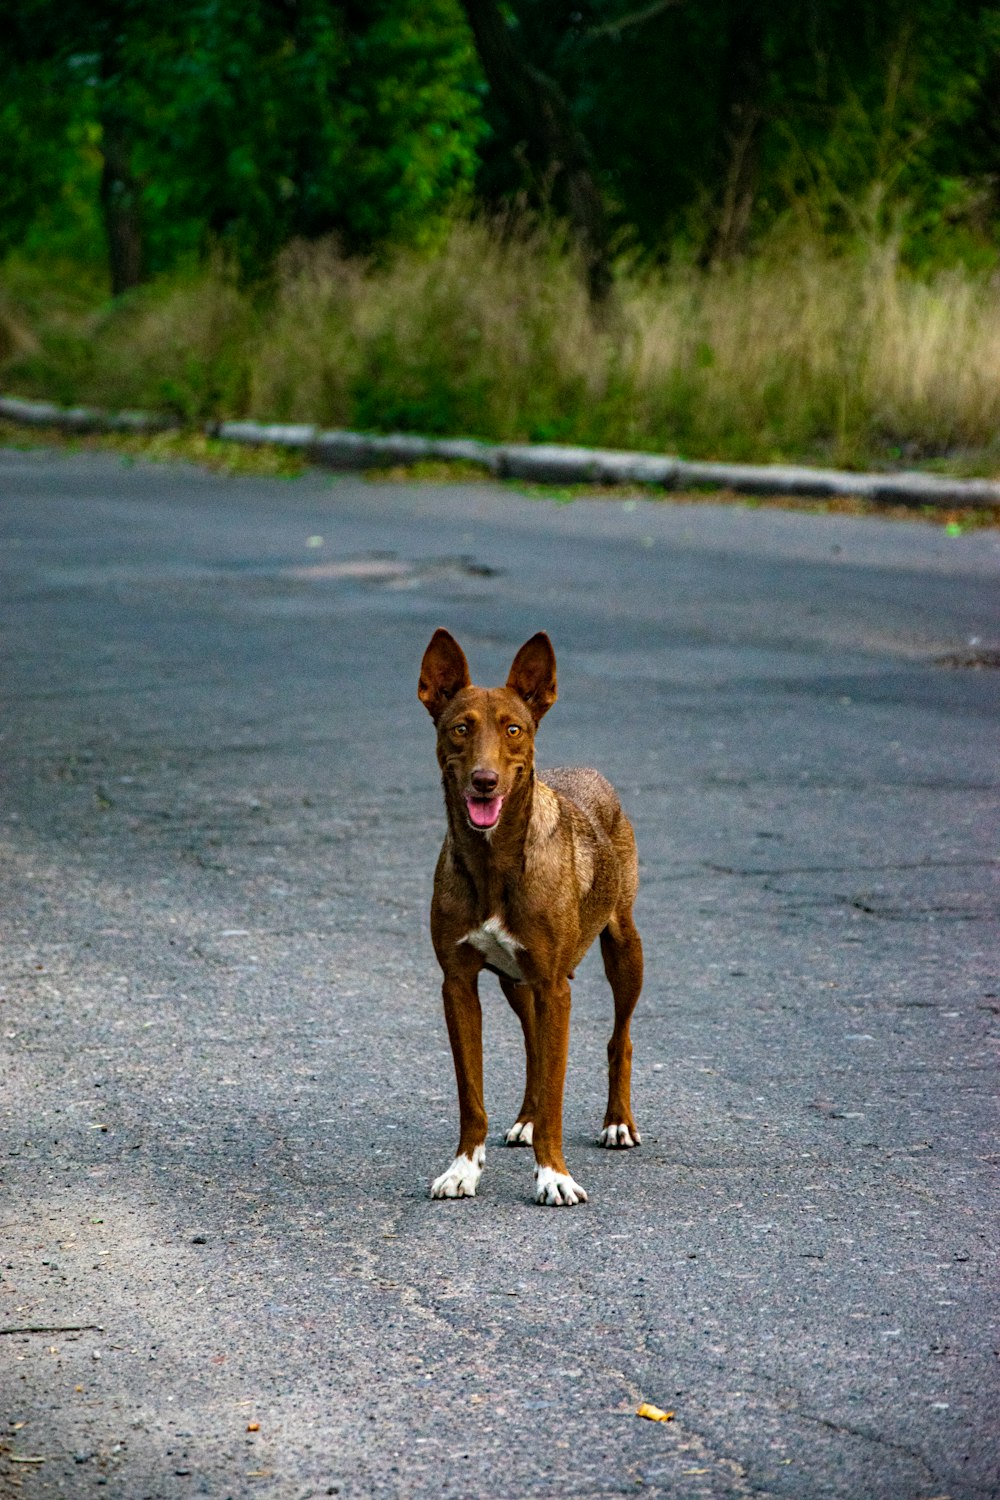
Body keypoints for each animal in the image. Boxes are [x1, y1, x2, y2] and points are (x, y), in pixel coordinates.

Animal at [419, 627, 644, 1200]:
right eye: (460, 728)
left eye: (514, 729)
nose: (484, 780)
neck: (494, 861)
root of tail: (587, 771)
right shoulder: (459, 984)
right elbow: (472, 1094)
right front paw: (463, 1168)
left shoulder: (554, 988)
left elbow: (558, 1093)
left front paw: (554, 1177)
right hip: (515, 983)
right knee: (533, 1049)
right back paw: (526, 1117)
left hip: (624, 950)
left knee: (620, 1038)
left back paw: (618, 1122)